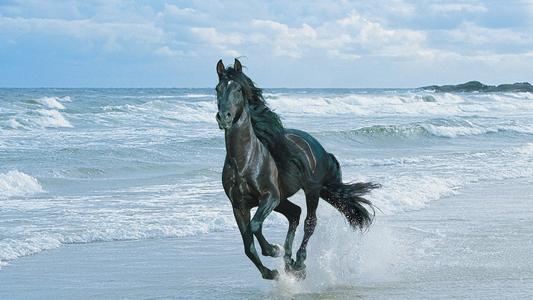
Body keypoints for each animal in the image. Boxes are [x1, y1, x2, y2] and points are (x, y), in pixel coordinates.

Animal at [214, 59, 376, 282]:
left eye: (238, 89)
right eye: (217, 89)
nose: (224, 117)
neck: (244, 162)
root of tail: (319, 147)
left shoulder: (270, 197)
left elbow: (255, 226)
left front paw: (273, 250)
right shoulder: (239, 206)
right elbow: (248, 245)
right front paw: (271, 272)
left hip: (311, 191)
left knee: (309, 221)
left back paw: (298, 262)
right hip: (283, 199)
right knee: (295, 214)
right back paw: (289, 263)